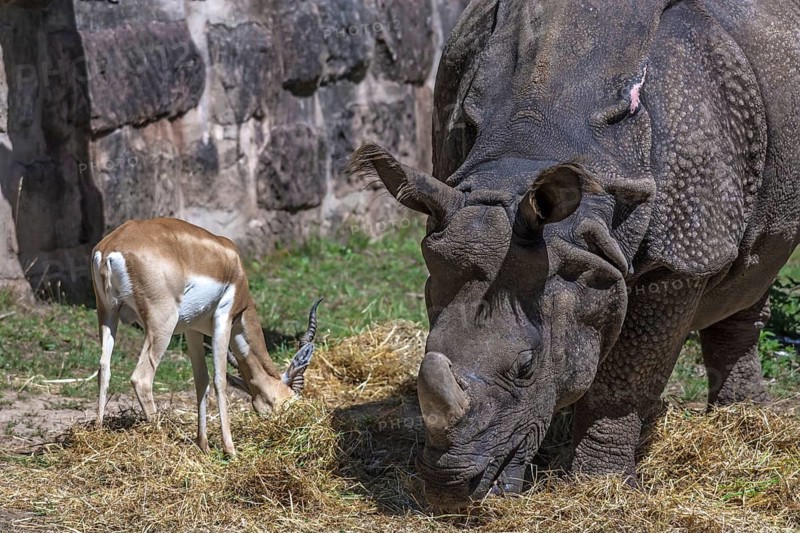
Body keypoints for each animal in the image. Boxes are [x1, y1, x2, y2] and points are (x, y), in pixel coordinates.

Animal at [348, 0, 800, 510]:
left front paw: (601, 486)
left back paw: (744, 419)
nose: (448, 488)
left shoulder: (682, 256)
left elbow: (625, 381)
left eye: (526, 367)